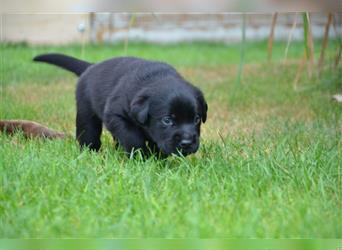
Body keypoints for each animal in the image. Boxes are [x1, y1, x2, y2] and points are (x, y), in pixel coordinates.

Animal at [33, 54, 207, 156]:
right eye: (167, 120)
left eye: (197, 119)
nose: (187, 143)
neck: (156, 77)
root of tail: (91, 66)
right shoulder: (115, 115)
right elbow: (131, 137)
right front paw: (141, 156)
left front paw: (157, 157)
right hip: (86, 111)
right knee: (88, 133)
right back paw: (90, 153)